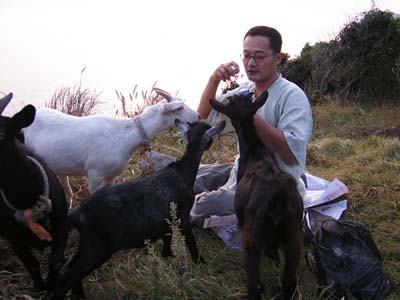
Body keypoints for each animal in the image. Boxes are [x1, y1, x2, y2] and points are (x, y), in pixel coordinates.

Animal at [0, 93, 67, 290]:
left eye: (1, 136)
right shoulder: (12, 237)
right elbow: (31, 264)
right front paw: (40, 287)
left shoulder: (62, 224)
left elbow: (55, 262)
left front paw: (52, 285)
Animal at [23, 89, 200, 206]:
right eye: (179, 108)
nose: (198, 116)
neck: (126, 135)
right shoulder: (94, 174)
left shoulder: (112, 175)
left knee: (62, 176)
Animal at [209, 92, 304, 300]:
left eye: (231, 103)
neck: (254, 148)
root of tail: (279, 194)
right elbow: (274, 254)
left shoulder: (241, 219)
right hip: (294, 235)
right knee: (289, 280)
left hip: (251, 237)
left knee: (256, 284)